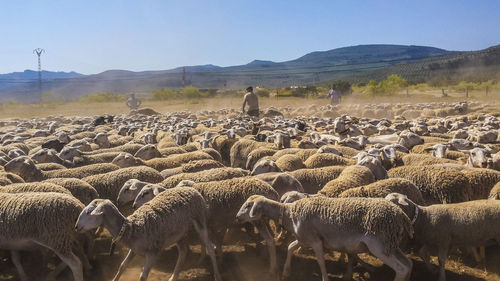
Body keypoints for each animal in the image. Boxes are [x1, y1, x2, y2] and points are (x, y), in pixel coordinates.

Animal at [74, 187, 221, 280]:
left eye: (89, 212)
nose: (76, 226)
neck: (131, 228)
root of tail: (191, 189)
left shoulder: (152, 253)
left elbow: (142, 277)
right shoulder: (134, 249)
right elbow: (122, 266)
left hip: (200, 221)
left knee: (210, 247)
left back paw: (217, 275)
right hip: (179, 233)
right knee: (183, 252)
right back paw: (173, 277)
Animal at [238, 194, 414, 280]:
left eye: (248, 205)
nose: (237, 217)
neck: (289, 214)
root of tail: (402, 216)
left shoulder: (315, 241)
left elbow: (321, 261)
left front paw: (325, 278)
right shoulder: (303, 238)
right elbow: (290, 248)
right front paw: (286, 272)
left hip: (379, 246)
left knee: (401, 268)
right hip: (391, 244)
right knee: (408, 264)